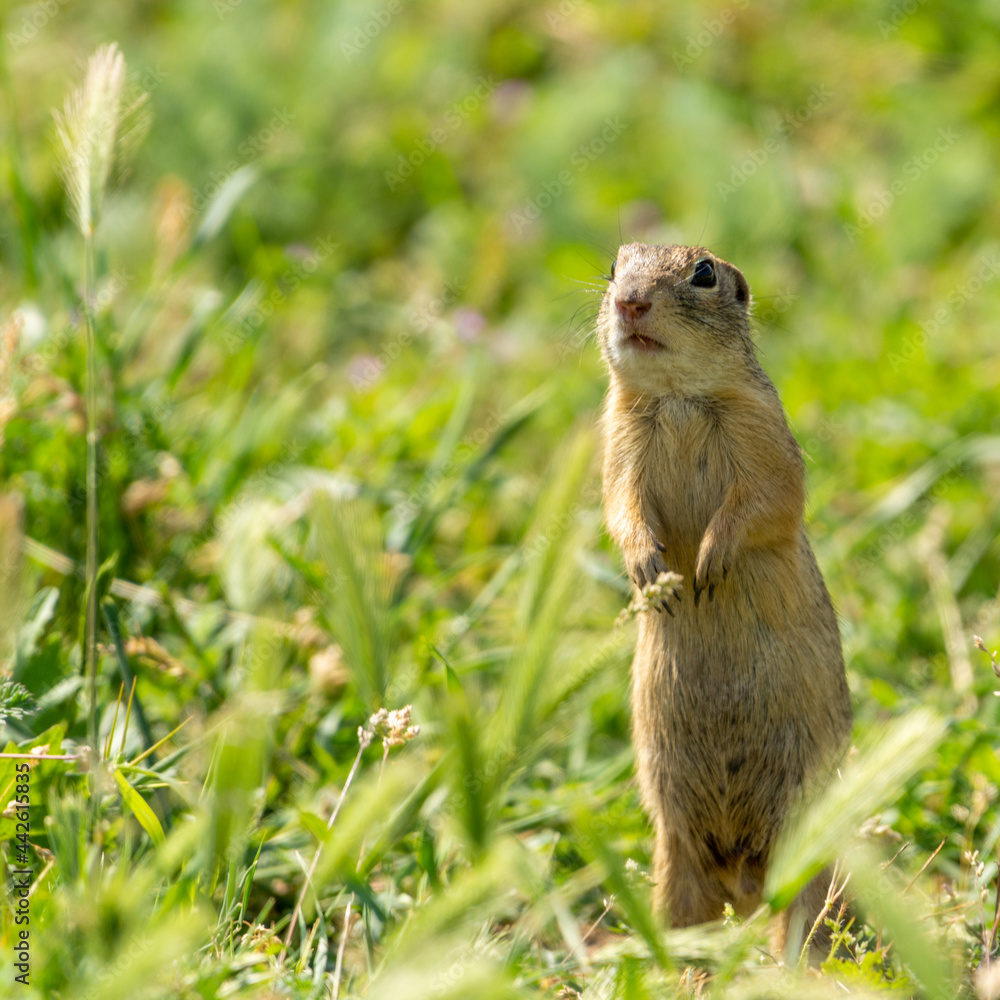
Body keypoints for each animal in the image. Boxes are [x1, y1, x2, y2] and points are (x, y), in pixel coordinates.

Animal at [597, 242, 852, 948]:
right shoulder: (617, 444)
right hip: (674, 849)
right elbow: (621, 508)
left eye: (704, 273)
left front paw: (710, 562)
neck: (679, 398)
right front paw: (652, 572)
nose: (630, 301)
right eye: (613, 268)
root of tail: (743, 869)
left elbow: (762, 503)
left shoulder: (763, 435)